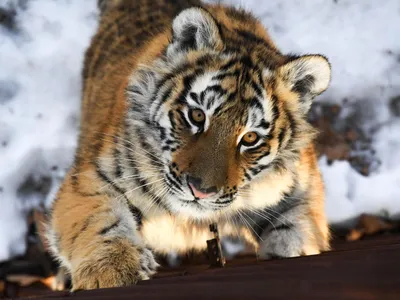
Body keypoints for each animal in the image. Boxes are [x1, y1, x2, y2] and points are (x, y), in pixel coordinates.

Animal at [47, 0, 332, 290]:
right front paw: (112, 270)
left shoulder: (301, 189)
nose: (201, 191)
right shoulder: (92, 179)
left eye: (250, 138)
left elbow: (297, 230)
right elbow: (99, 221)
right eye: (197, 116)